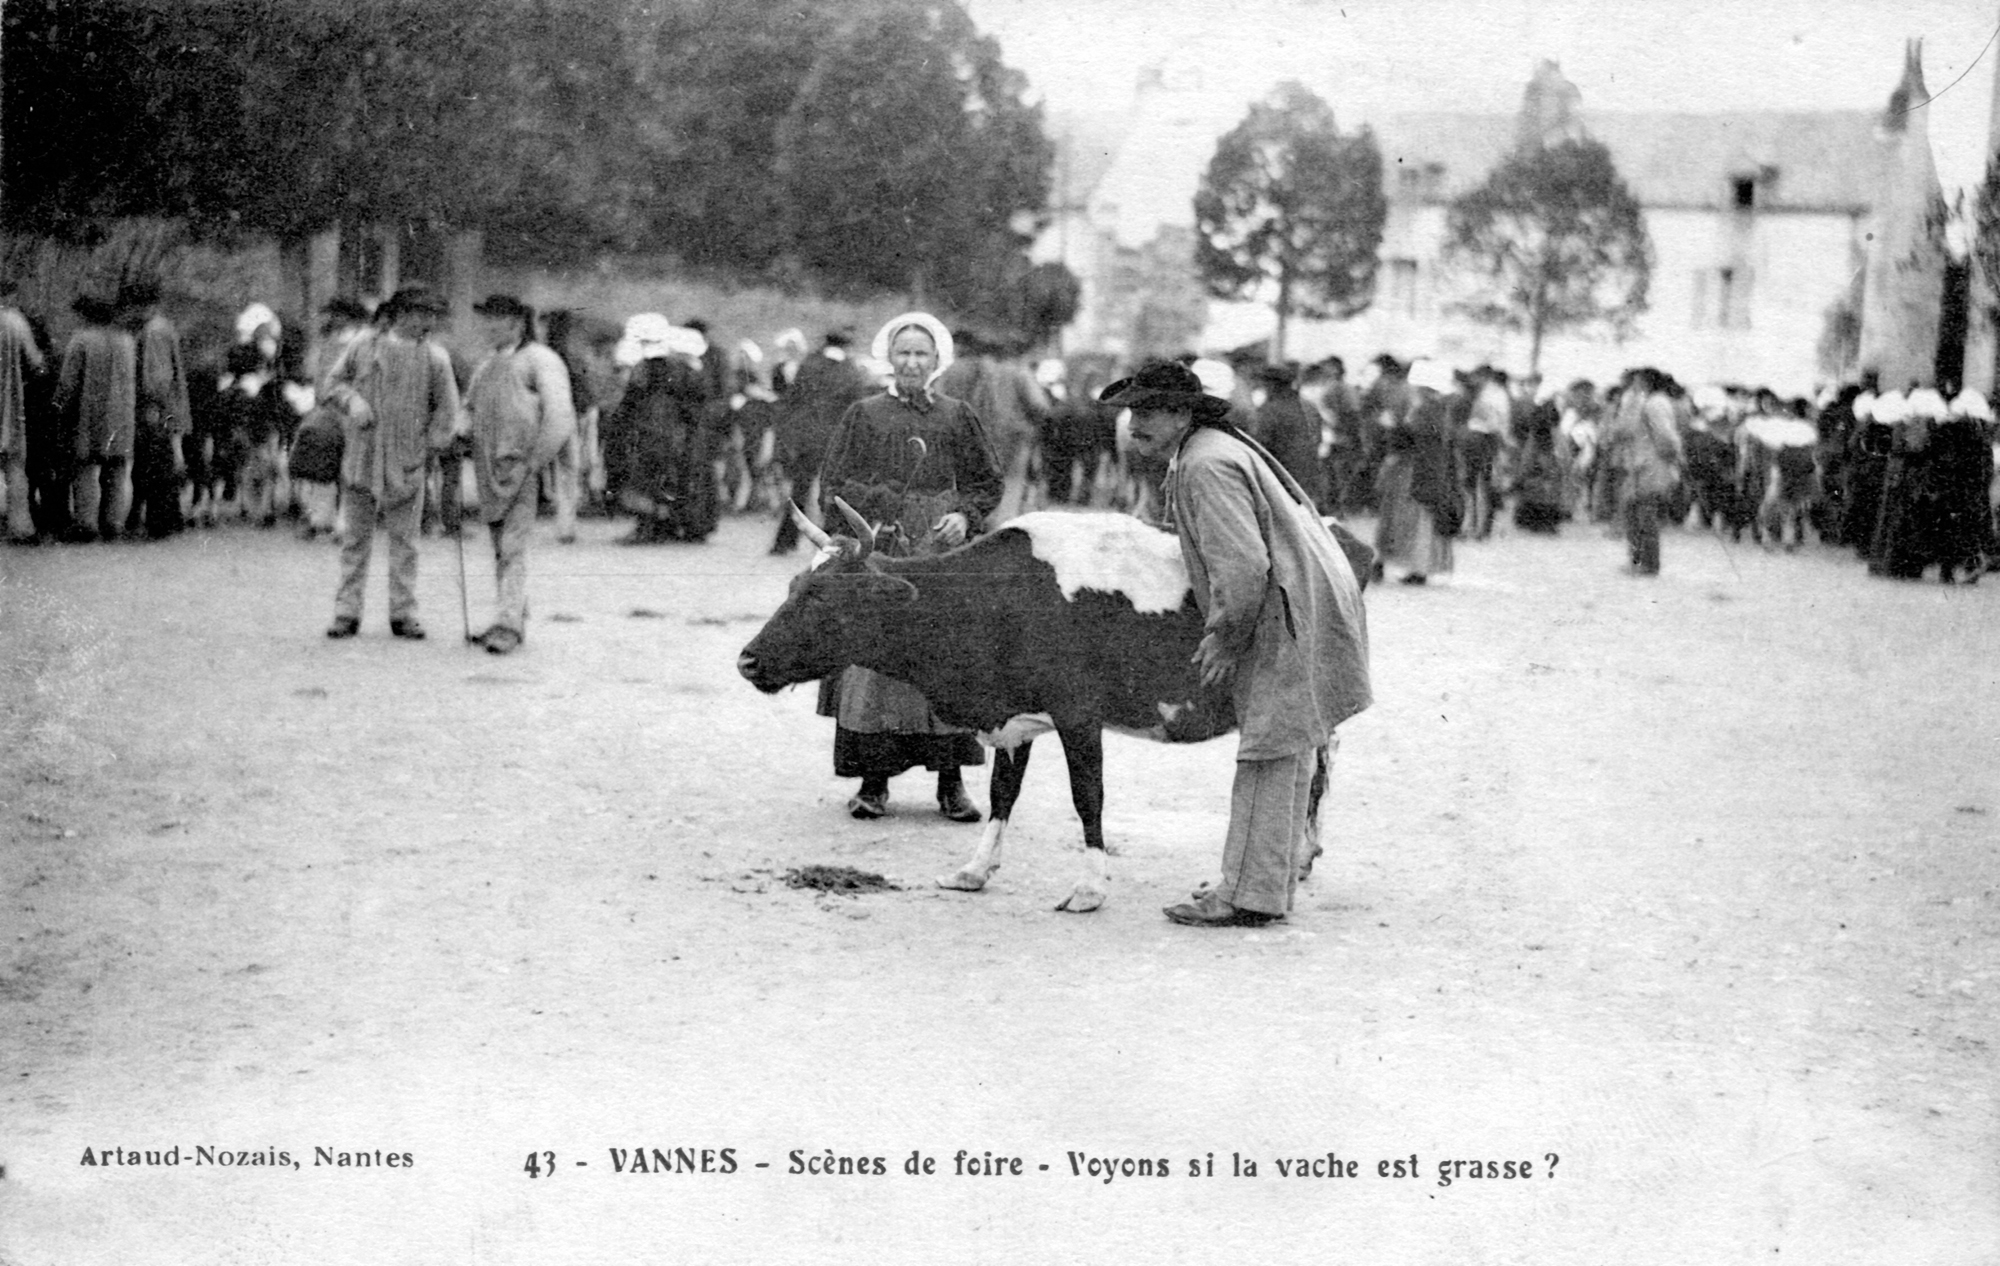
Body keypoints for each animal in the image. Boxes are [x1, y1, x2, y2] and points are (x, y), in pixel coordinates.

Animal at [737, 499, 1369, 913]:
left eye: (825, 597)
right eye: (792, 587)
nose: (746, 660)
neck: (994, 597)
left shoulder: (1077, 715)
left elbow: (1087, 796)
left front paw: (1090, 887)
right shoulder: (1014, 720)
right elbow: (1001, 794)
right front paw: (975, 870)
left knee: (1315, 768)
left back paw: (1298, 856)